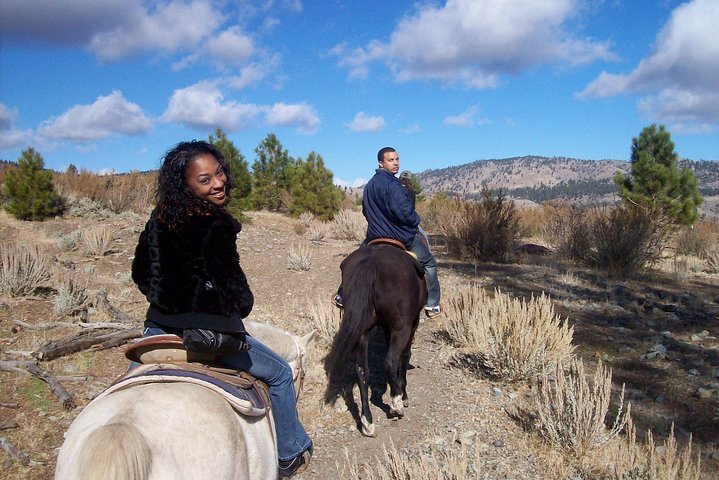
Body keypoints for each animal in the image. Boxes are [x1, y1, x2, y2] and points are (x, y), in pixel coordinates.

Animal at [324, 246, 428, 436]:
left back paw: (367, 422)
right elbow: (405, 356)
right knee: (390, 362)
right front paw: (404, 396)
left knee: (362, 371)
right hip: (401, 327)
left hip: (362, 332)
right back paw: (396, 405)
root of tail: (370, 263)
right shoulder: (411, 323)